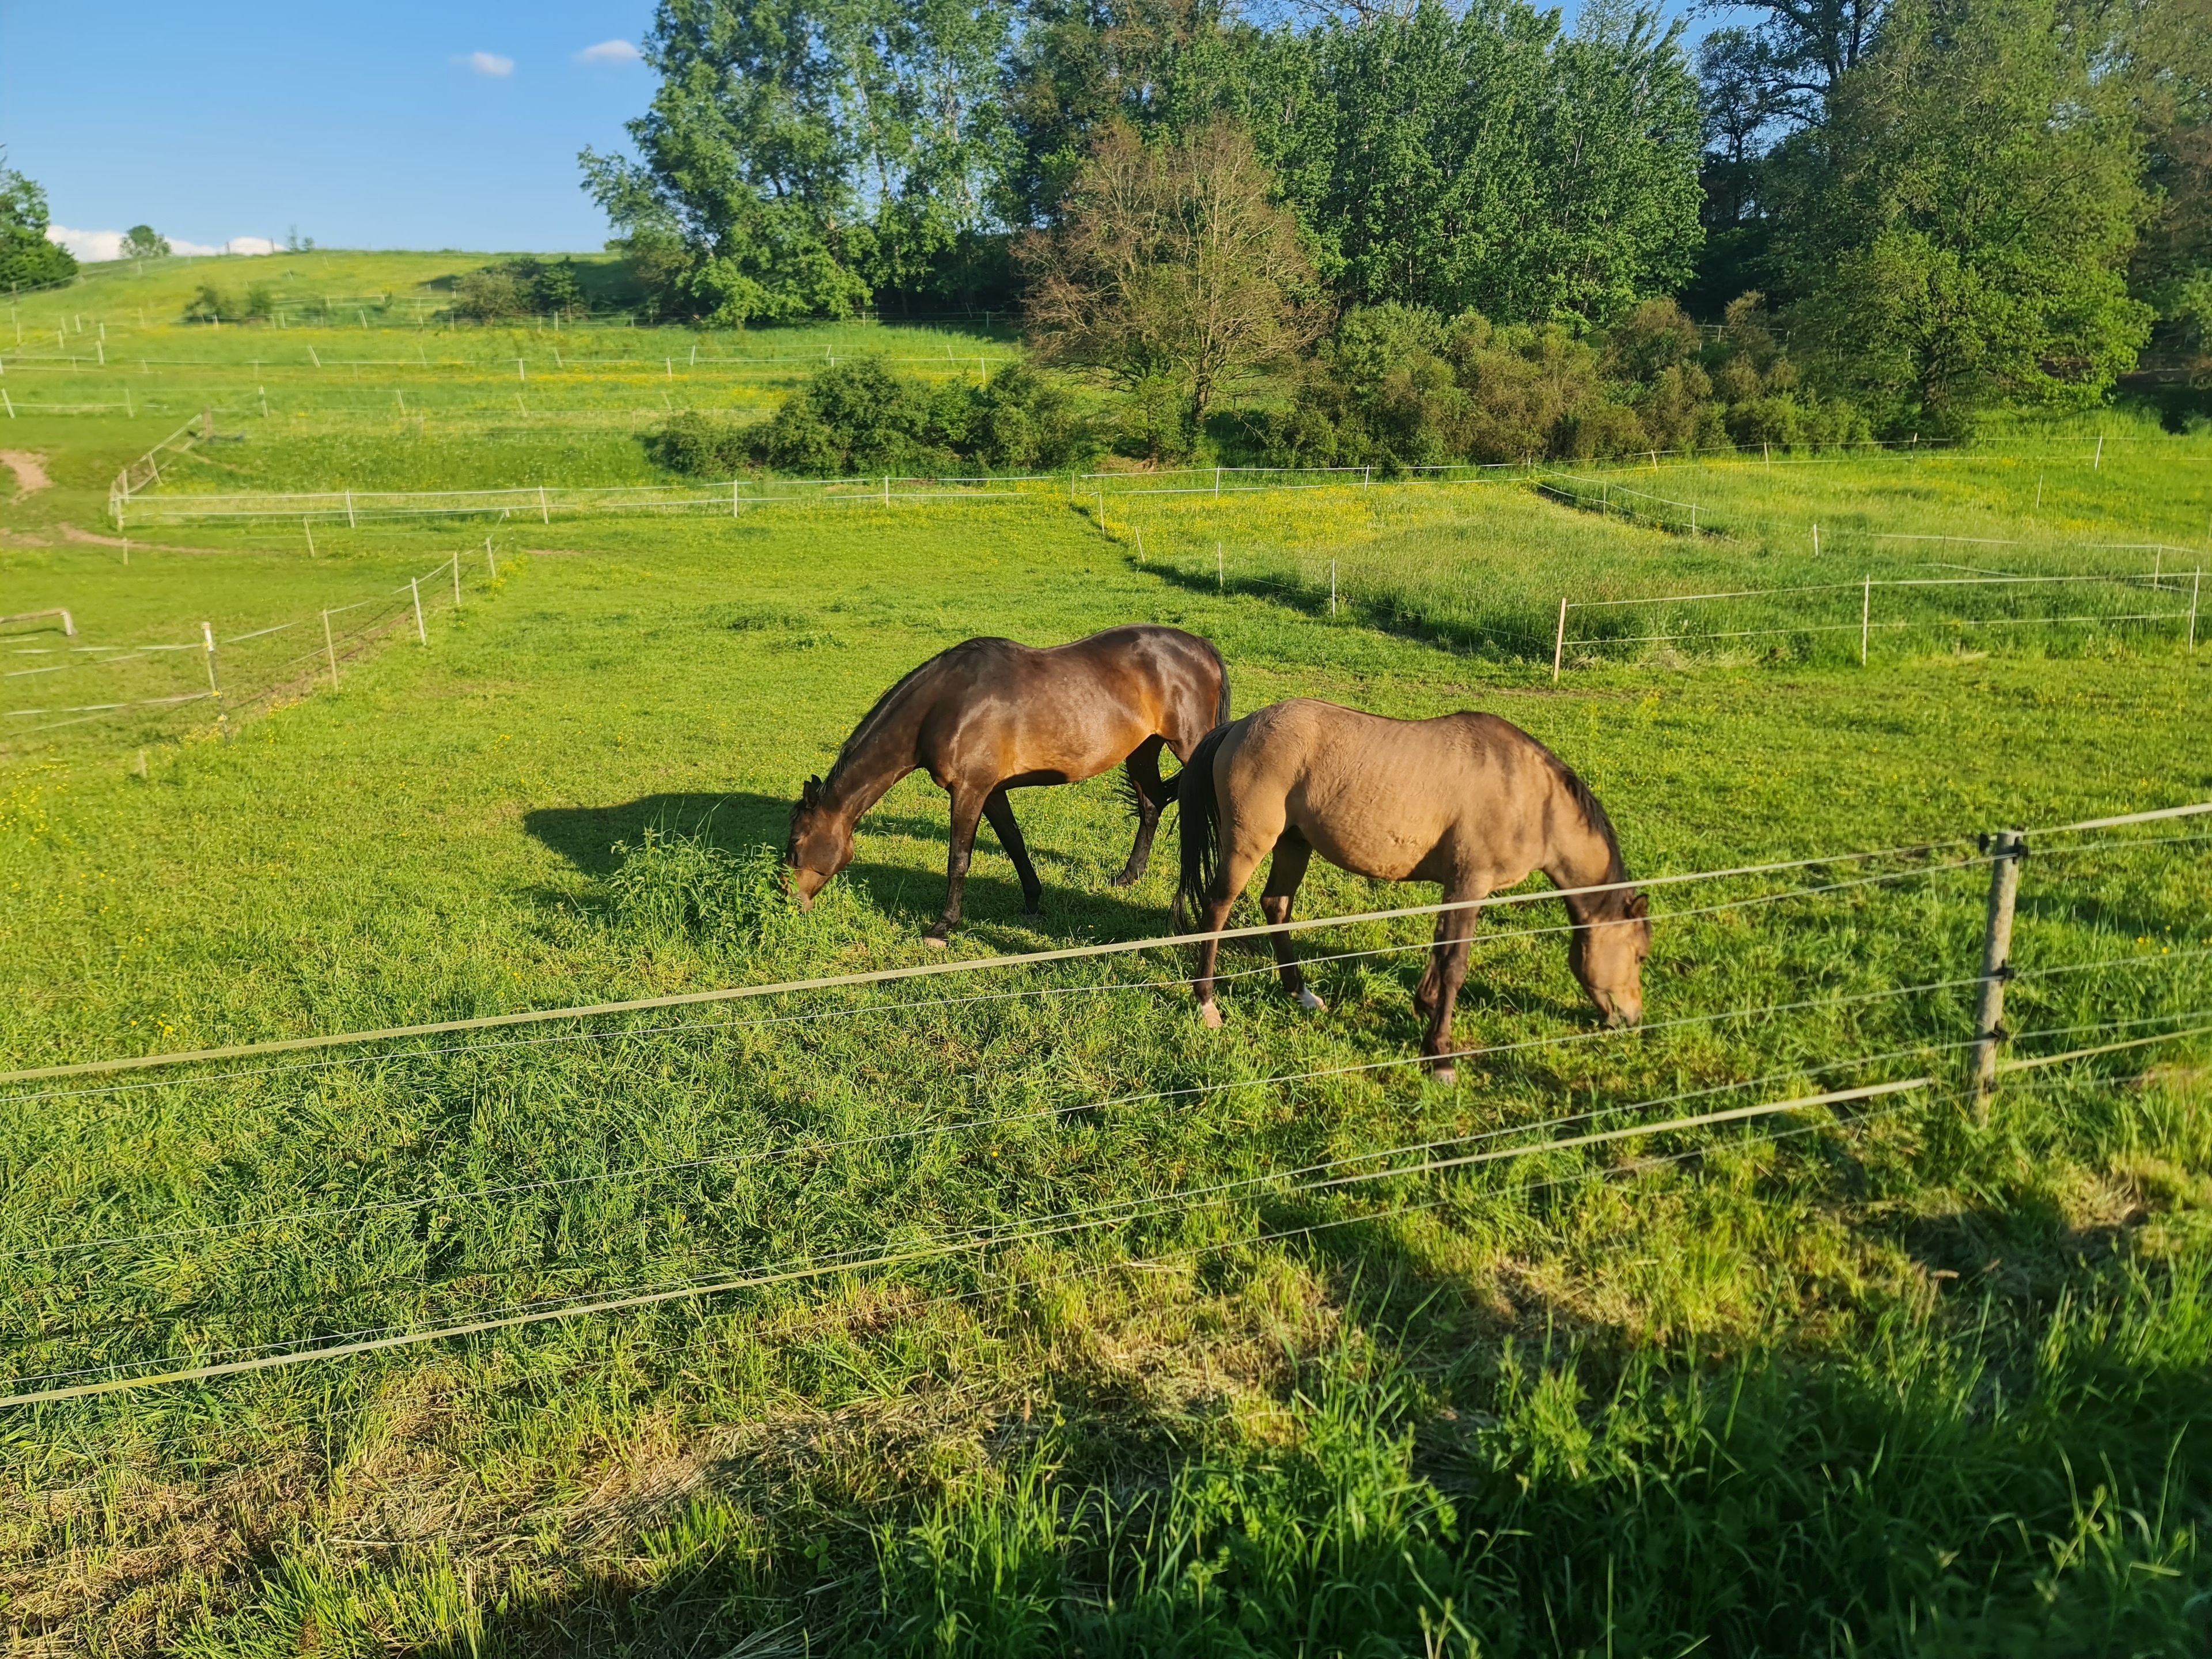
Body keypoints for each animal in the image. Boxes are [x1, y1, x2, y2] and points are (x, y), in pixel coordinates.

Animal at [787, 625, 1230, 945]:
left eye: (795, 845)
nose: (790, 903)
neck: (945, 705)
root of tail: (1201, 646)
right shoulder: (992, 791)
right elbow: (1014, 843)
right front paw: (1033, 900)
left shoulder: (969, 790)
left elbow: (959, 860)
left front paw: (943, 926)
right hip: (1142, 751)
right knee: (1152, 805)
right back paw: (1129, 876)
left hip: (1189, 748)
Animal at [1173, 699, 1649, 1081]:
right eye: (1641, 955)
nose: (1632, 1018)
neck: (1529, 796)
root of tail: (1240, 726)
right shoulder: (1471, 884)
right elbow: (1456, 963)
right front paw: (1440, 1055)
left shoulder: (1456, 888)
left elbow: (1440, 949)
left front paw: (1424, 1005)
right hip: (1248, 843)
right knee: (1217, 909)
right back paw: (1207, 1004)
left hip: (1294, 844)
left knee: (1276, 906)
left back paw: (1300, 993)